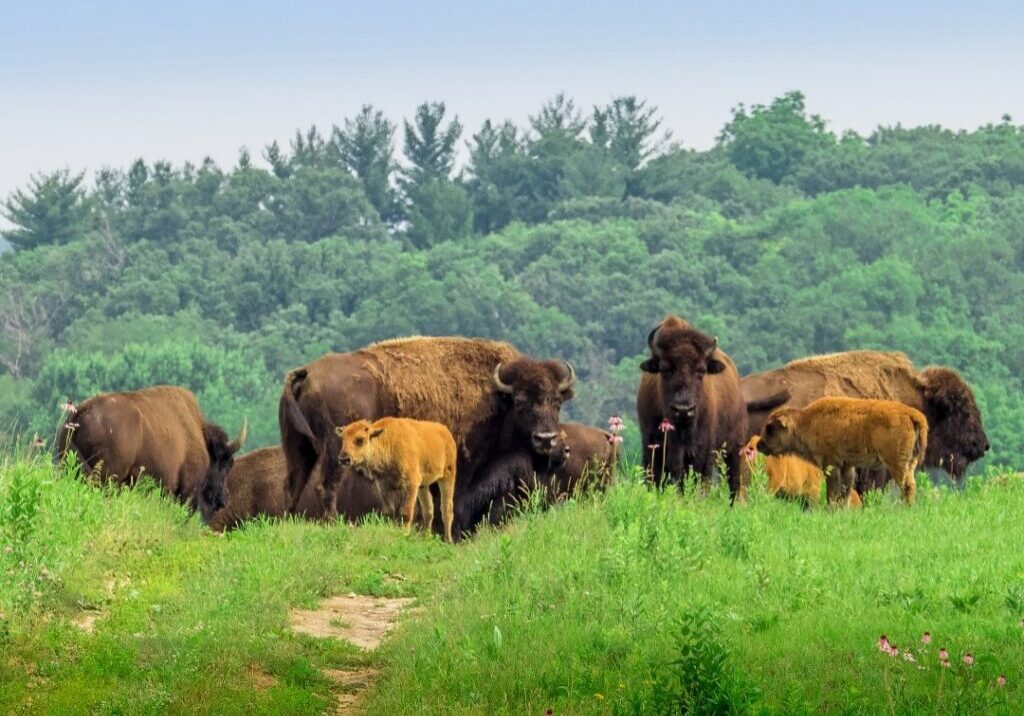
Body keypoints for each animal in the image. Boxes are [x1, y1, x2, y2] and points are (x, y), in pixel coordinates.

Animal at [279, 336, 575, 526]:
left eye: (557, 402)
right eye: (521, 403)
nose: (547, 440)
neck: (496, 397)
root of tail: (307, 372)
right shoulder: (460, 467)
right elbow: (449, 502)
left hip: (298, 448)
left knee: (293, 485)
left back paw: (288, 523)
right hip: (336, 451)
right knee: (325, 486)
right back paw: (332, 524)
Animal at [636, 316, 748, 501]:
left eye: (701, 371)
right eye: (664, 369)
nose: (683, 409)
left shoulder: (703, 450)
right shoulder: (652, 446)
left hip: (734, 447)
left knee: (734, 481)